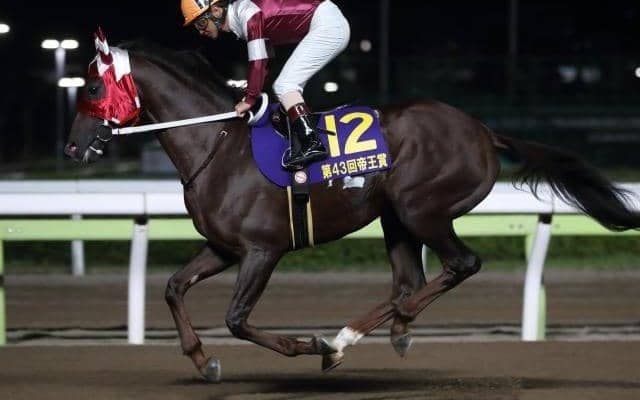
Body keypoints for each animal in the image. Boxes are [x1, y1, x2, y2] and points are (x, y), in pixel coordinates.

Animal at [65, 31, 640, 382]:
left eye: (90, 86)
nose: (72, 149)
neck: (218, 145)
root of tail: (483, 131)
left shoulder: (262, 250)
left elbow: (236, 318)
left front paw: (308, 346)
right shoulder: (225, 248)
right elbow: (172, 287)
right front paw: (202, 361)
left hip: (422, 208)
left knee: (460, 264)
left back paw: (351, 336)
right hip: (395, 217)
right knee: (408, 282)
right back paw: (374, 334)